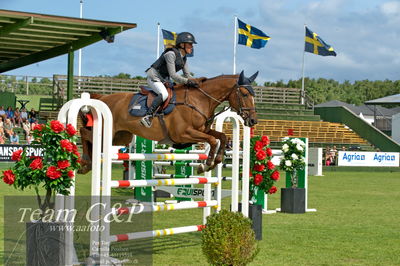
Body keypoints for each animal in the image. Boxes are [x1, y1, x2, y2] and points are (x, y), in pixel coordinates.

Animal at [78, 70, 260, 175]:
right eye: (245, 94)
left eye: (253, 95)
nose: (253, 120)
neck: (199, 100)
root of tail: (103, 97)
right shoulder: (183, 134)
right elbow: (212, 140)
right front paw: (206, 165)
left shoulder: (202, 130)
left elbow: (221, 137)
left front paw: (216, 160)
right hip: (106, 132)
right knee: (84, 133)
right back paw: (85, 162)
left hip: (120, 137)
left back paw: (87, 165)